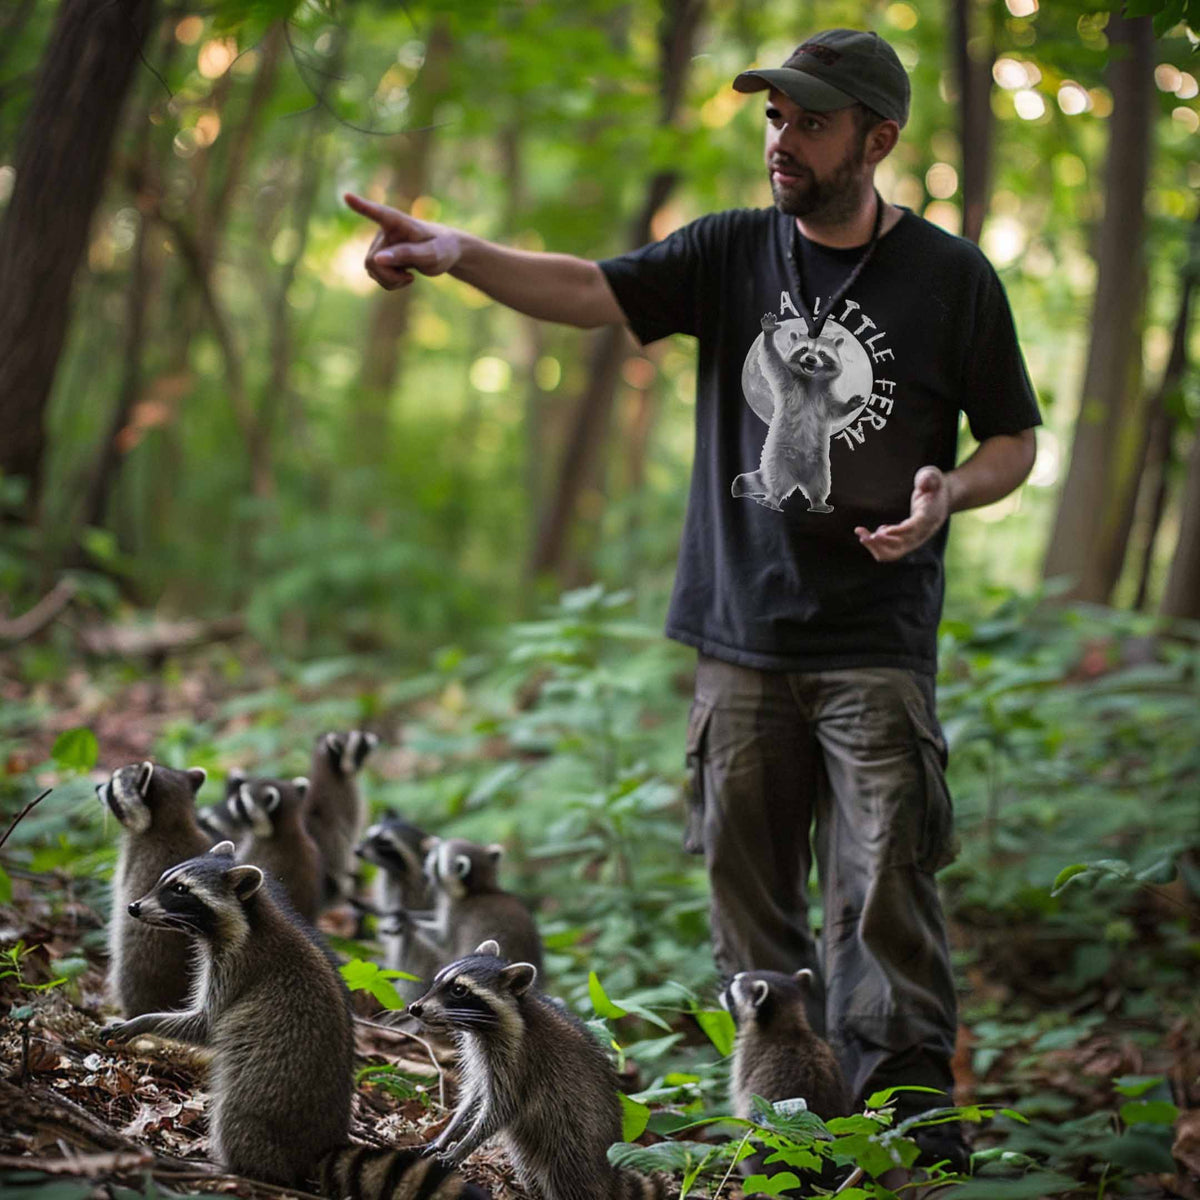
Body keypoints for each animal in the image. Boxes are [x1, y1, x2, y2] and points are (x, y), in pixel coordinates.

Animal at [106, 843, 486, 1200]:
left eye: (181, 890)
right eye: (165, 881)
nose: (134, 907)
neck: (251, 918)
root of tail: (319, 1146)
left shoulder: (239, 966)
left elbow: (207, 1025)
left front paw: (141, 1022)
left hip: (267, 1095)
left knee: (235, 1116)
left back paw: (234, 1168)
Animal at [408, 941, 668, 1200]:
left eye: (459, 990)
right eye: (437, 981)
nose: (414, 1008)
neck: (482, 1028)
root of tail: (610, 1176)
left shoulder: (520, 1063)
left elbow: (500, 1109)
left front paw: (462, 1147)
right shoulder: (480, 1057)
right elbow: (474, 1097)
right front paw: (447, 1134)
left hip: (575, 1143)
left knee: (566, 1179)